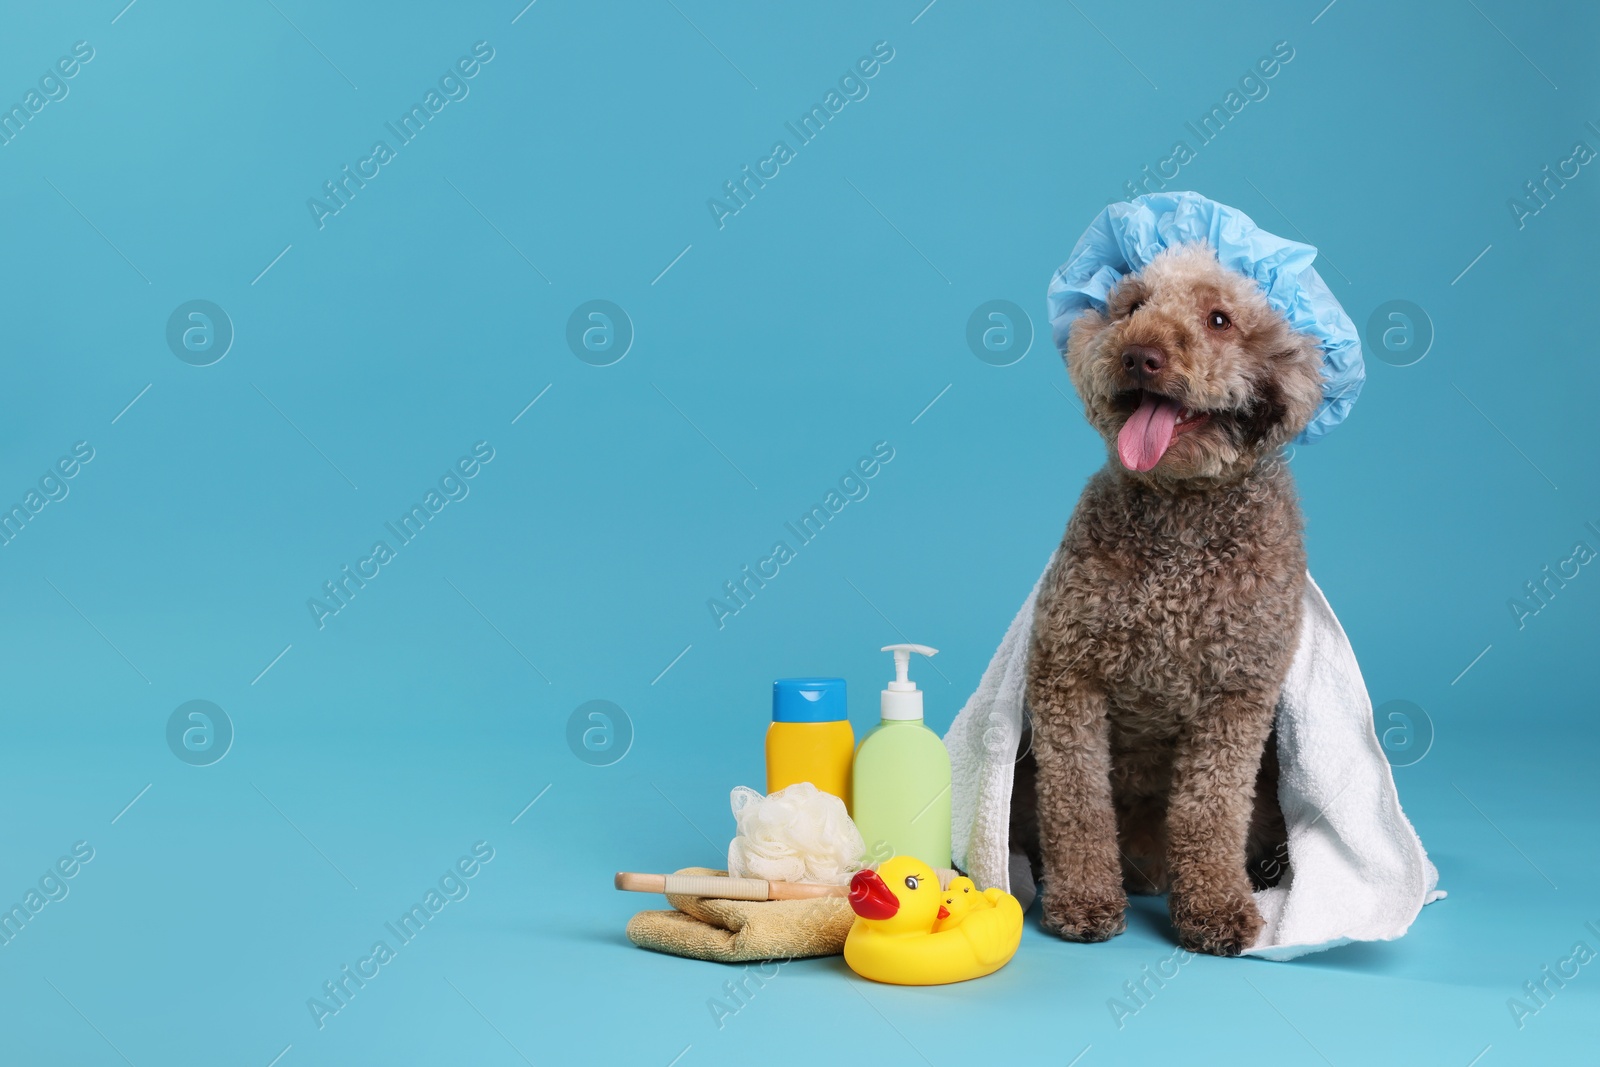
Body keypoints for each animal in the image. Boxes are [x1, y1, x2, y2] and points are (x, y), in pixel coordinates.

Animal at [1011, 241, 1324, 959]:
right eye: (1131, 307)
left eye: (1219, 319)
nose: (1140, 355)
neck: (1182, 521)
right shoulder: (1067, 675)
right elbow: (1078, 804)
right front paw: (1081, 899)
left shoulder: (1237, 697)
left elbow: (1211, 810)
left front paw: (1215, 906)